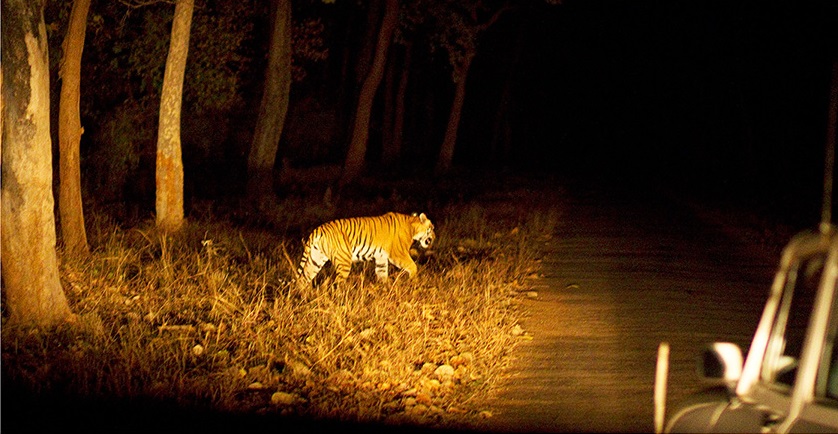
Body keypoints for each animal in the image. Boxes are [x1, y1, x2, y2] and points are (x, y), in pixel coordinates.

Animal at [294, 212, 435, 289]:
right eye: (432, 228)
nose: (434, 237)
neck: (412, 227)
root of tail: (318, 229)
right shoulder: (398, 254)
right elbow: (412, 266)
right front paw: (414, 281)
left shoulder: (381, 258)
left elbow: (382, 274)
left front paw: (385, 290)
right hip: (344, 262)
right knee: (337, 283)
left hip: (316, 259)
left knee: (303, 279)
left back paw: (303, 298)